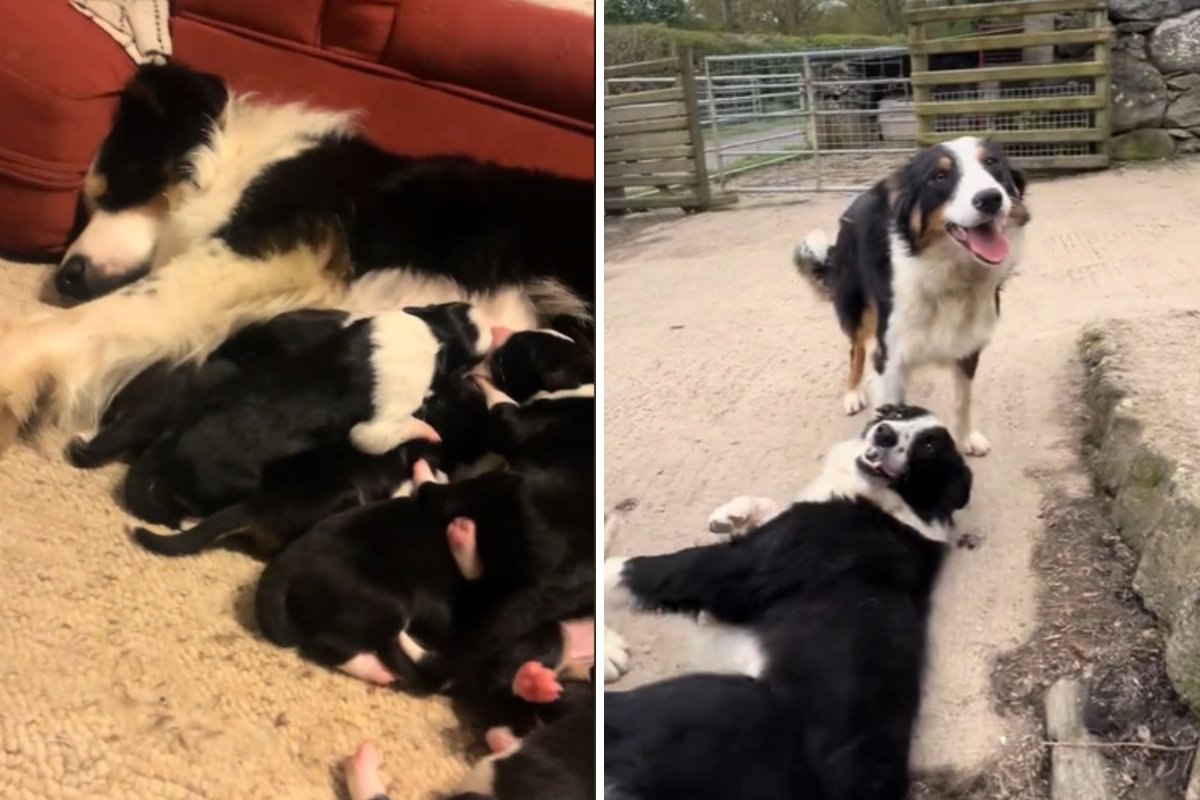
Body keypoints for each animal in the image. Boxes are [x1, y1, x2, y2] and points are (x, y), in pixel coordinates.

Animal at [604, 407, 969, 800]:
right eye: (899, 413)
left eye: (929, 446)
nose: (884, 432)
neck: (892, 505)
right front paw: (734, 514)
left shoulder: (741, 567)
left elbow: (639, 569)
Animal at [796, 134, 1032, 453]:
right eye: (939, 176)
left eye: (992, 163)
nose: (990, 198)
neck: (948, 277)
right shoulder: (891, 358)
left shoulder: (967, 347)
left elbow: (963, 401)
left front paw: (966, 437)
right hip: (857, 307)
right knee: (856, 349)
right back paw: (853, 393)